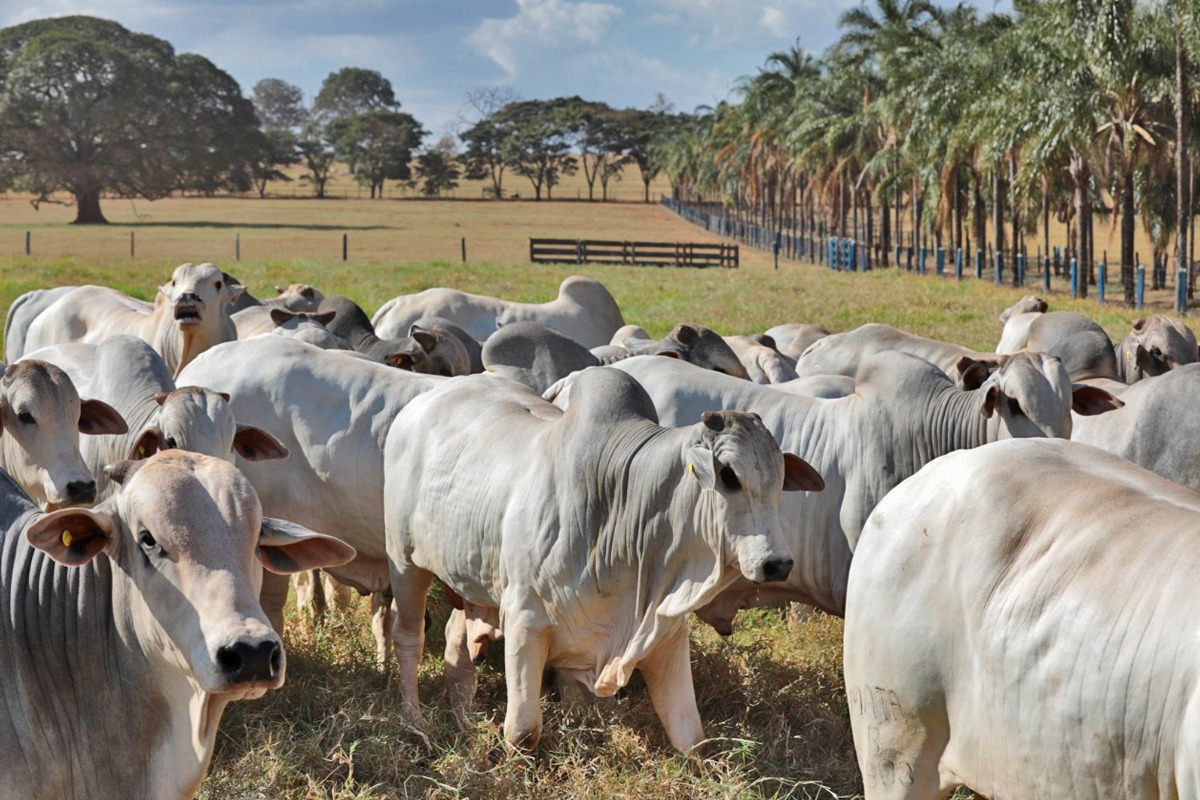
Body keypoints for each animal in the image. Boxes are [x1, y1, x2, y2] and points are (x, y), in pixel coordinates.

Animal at [388, 369, 820, 753]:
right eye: (728, 475)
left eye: (780, 479)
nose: (778, 564)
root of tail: (423, 401)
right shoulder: (525, 621)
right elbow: (524, 731)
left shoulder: (664, 632)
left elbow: (690, 736)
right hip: (405, 563)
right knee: (409, 638)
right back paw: (415, 719)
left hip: (471, 581)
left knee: (456, 641)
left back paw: (463, 714)